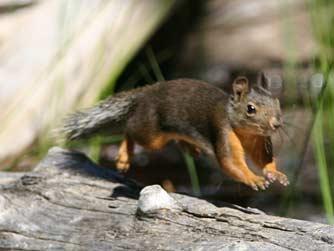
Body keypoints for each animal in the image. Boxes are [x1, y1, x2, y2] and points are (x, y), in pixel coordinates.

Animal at [60, 72, 290, 190]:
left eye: (277, 102)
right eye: (251, 109)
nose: (276, 124)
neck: (246, 133)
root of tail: (146, 93)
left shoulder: (260, 142)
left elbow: (263, 160)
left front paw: (275, 174)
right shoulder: (223, 132)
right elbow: (231, 162)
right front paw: (254, 179)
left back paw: (192, 148)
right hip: (151, 133)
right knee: (130, 129)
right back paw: (124, 156)